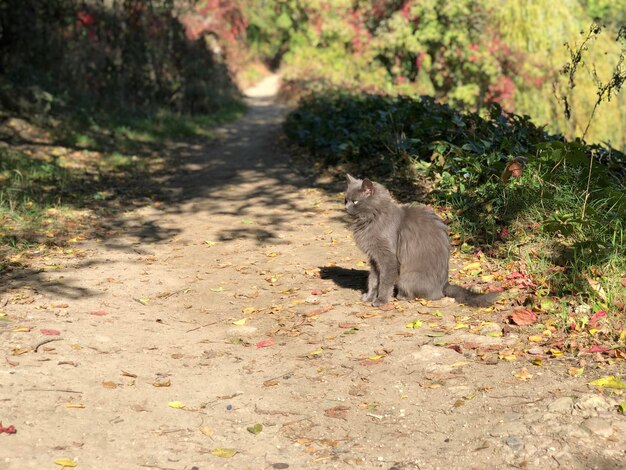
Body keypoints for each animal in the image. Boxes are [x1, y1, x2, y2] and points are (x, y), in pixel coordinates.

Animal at [344, 174, 494, 306]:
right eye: (346, 200)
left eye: (355, 201)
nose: (345, 208)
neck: (370, 220)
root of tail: (444, 284)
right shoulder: (374, 258)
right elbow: (374, 280)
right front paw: (369, 297)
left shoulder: (387, 257)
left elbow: (384, 282)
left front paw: (380, 300)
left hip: (406, 277)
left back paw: (401, 296)